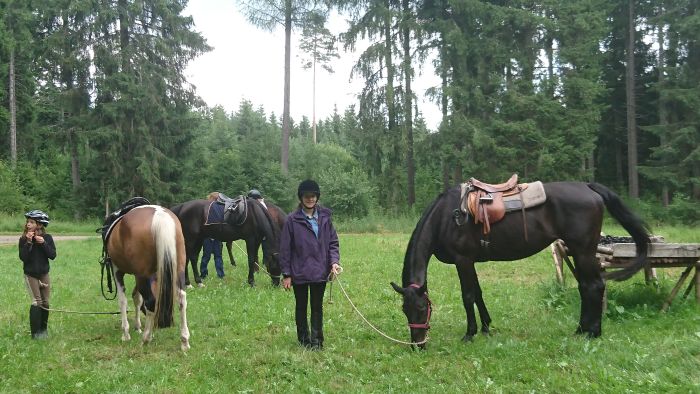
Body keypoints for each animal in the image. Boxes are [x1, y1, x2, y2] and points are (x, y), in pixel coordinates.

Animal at [105, 205, 190, 350]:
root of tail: (160, 216)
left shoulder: (117, 271)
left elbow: (123, 301)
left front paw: (126, 333)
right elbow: (138, 299)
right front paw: (138, 327)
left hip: (141, 275)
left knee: (150, 302)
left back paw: (146, 339)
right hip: (178, 270)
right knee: (181, 300)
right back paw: (184, 341)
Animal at [394, 182, 652, 348]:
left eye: (422, 308)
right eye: (405, 310)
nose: (417, 345)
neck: (445, 218)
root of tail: (588, 187)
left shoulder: (463, 260)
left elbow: (467, 296)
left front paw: (470, 334)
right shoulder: (471, 261)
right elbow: (478, 293)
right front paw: (486, 327)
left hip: (583, 251)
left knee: (594, 286)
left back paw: (593, 333)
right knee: (585, 287)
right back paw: (581, 329)